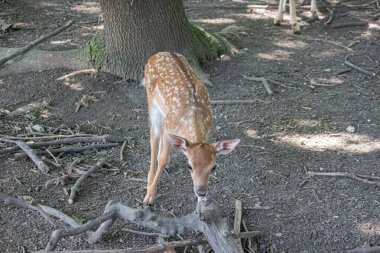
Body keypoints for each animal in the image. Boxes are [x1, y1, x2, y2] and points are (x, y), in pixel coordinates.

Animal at [142, 52, 240, 206]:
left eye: (213, 167)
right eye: (189, 166)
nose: (201, 191)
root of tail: (158, 54)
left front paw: (201, 206)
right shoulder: (170, 128)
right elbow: (164, 159)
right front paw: (149, 196)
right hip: (152, 103)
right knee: (153, 136)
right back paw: (149, 180)